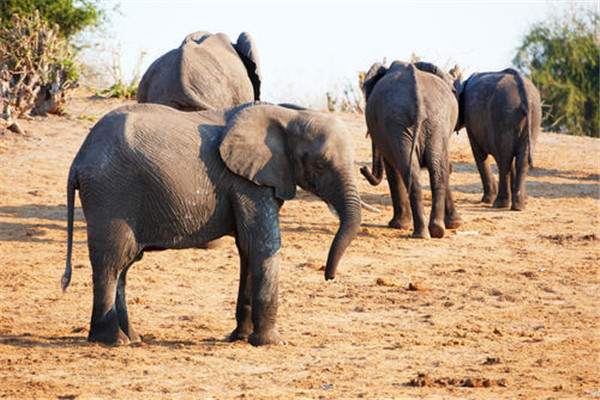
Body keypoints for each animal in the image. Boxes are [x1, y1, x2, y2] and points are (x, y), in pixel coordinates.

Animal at [61, 101, 360, 346]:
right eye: (320, 164)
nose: (329, 276)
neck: (288, 115)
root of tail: (77, 161)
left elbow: (246, 249)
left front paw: (240, 338)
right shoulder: (248, 182)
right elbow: (262, 244)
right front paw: (271, 343)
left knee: (123, 266)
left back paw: (132, 338)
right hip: (111, 193)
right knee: (111, 262)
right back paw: (113, 341)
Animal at [358, 59, 462, 238]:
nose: (363, 168)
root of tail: (417, 95)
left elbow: (391, 168)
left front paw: (396, 225)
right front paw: (454, 224)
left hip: (404, 123)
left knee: (417, 171)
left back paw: (422, 232)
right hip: (430, 123)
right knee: (434, 171)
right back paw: (433, 231)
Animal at [454, 69, 544, 211]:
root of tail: (523, 88)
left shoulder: (472, 124)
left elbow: (480, 154)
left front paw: (486, 200)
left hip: (505, 114)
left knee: (504, 158)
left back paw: (499, 204)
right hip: (534, 117)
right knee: (521, 160)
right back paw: (518, 206)